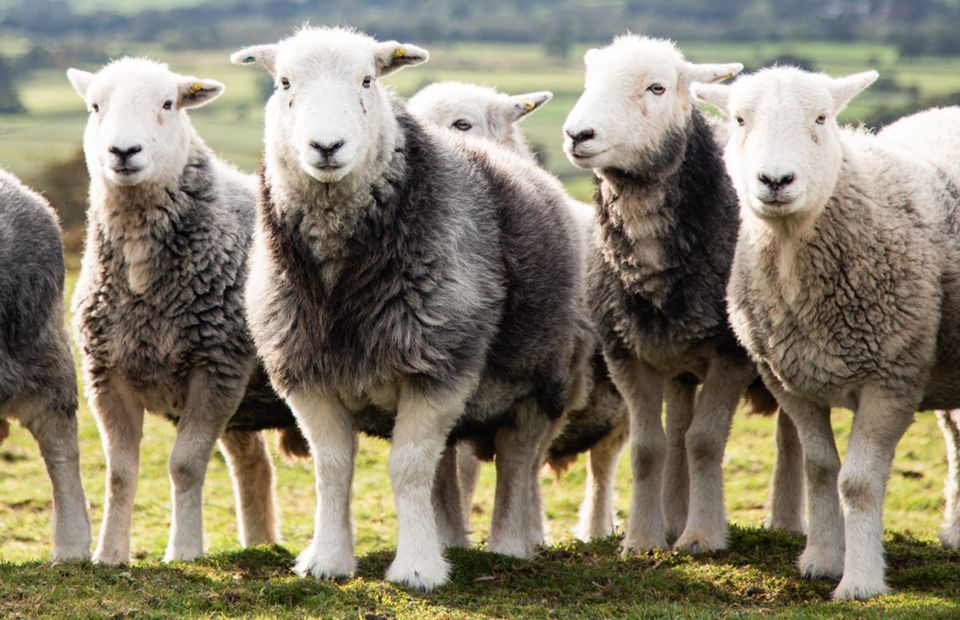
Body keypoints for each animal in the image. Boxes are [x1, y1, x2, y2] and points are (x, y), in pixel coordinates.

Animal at [67, 58, 304, 565]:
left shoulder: (216, 369)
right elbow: (120, 472)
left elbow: (186, 465)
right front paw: (109, 555)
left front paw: (184, 551)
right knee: (255, 465)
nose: (123, 151)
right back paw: (259, 544)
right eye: (95, 106)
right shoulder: (106, 374)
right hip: (247, 404)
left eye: (168, 103)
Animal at [231, 26, 586, 591]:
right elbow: (334, 467)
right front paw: (327, 560)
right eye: (284, 82)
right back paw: (450, 539)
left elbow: (407, 468)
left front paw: (417, 568)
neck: (340, 283)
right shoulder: (305, 372)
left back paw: (511, 544)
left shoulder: (440, 365)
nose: (326, 146)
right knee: (448, 466)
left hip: (541, 376)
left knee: (518, 460)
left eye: (367, 79)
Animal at [561, 34, 794, 554]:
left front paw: (703, 536)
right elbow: (650, 448)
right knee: (678, 431)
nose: (577, 135)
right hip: (677, 357)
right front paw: (642, 539)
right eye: (589, 81)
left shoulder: (731, 352)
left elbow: (705, 443)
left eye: (657, 87)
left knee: (792, 435)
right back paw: (671, 518)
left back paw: (791, 525)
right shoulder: (625, 350)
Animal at [693, 66, 960, 599]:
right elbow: (819, 469)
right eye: (739, 120)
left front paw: (860, 581)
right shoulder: (789, 381)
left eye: (821, 118)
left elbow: (857, 481)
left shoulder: (892, 377)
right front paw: (821, 558)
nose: (776, 180)